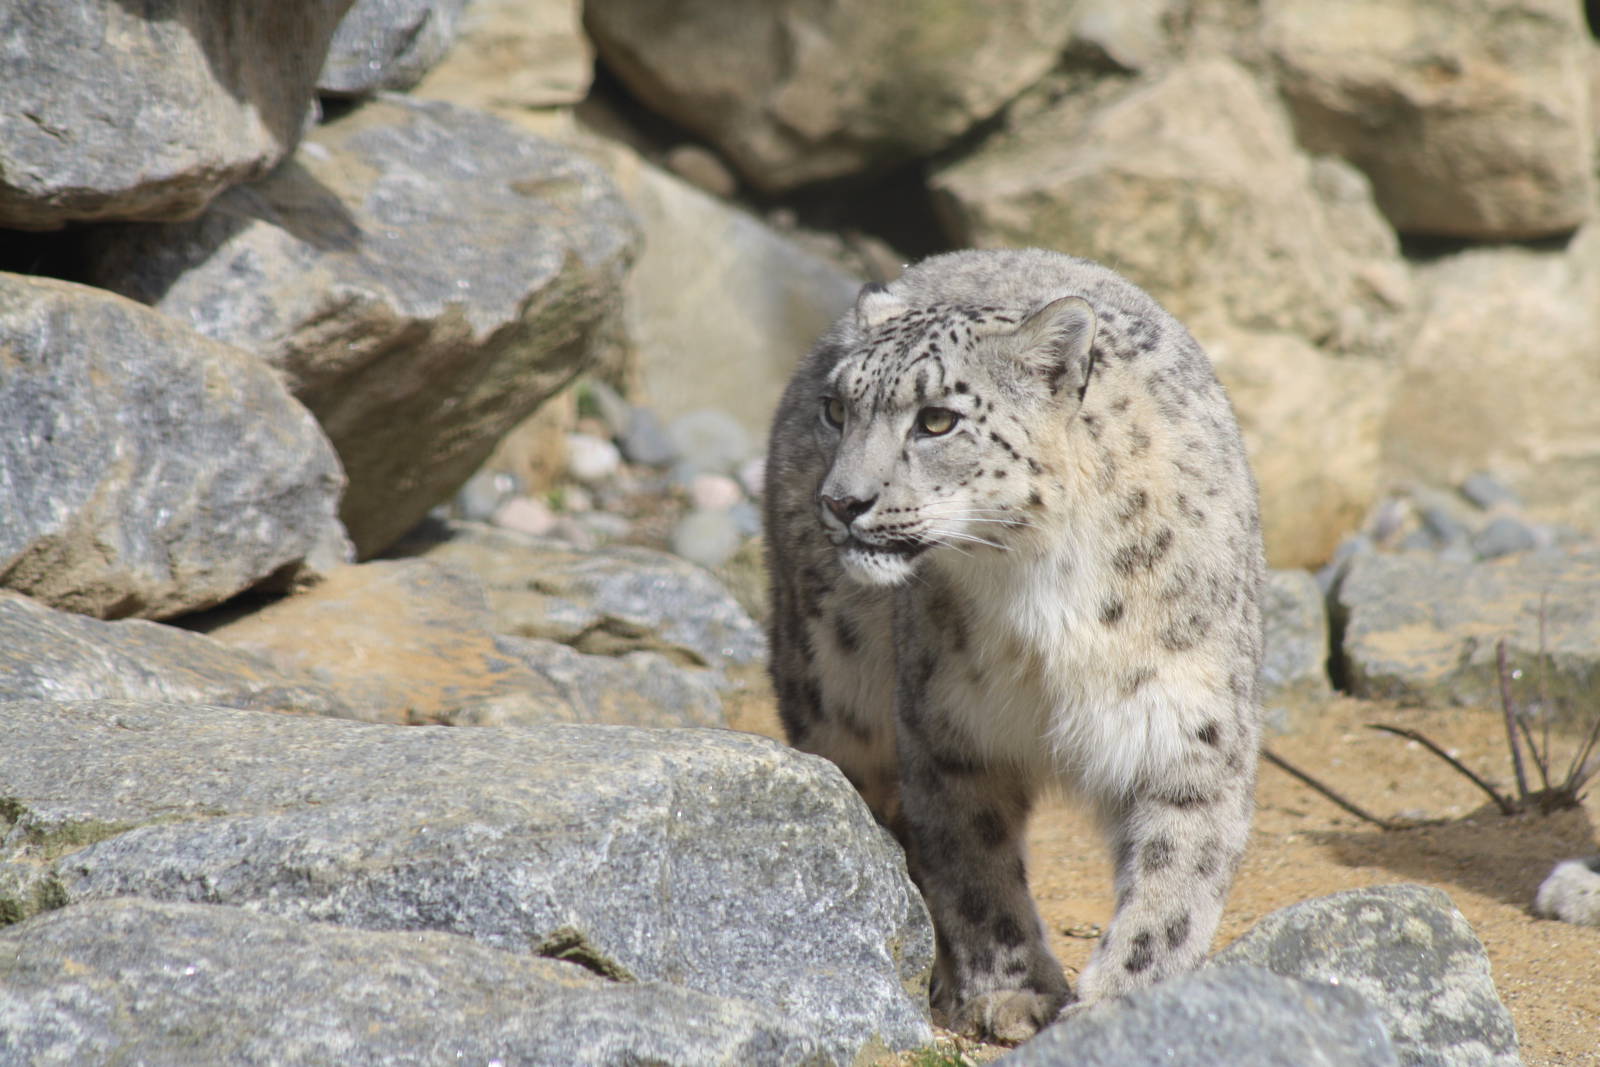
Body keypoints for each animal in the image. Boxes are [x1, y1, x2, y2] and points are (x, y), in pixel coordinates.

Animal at [763, 248, 1265, 1044]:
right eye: (837, 408)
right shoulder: (950, 730)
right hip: (832, 683)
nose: (841, 501)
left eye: (937, 419)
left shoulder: (1190, 730)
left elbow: (1175, 885)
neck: (1039, 593)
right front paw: (1013, 991)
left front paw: (1123, 1000)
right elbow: (974, 868)